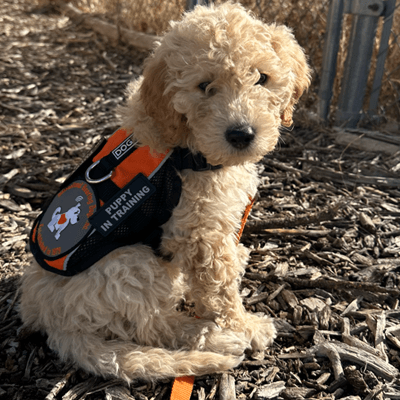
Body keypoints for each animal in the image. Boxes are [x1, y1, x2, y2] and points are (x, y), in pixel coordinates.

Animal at [20, 1, 310, 382]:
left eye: (261, 78)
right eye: (204, 86)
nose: (241, 134)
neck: (188, 147)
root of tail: (54, 323)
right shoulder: (199, 233)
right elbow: (220, 289)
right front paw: (245, 326)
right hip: (130, 263)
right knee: (152, 325)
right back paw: (214, 337)